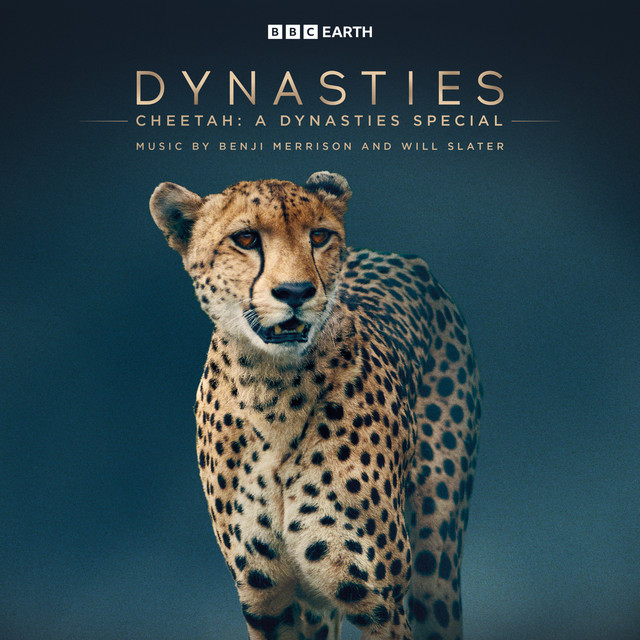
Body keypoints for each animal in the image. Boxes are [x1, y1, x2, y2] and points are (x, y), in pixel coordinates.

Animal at [149, 171, 481, 640]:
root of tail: (399, 255)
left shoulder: (379, 603)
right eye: (246, 238)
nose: (295, 291)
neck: (273, 395)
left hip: (438, 562)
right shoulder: (265, 601)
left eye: (319, 236)